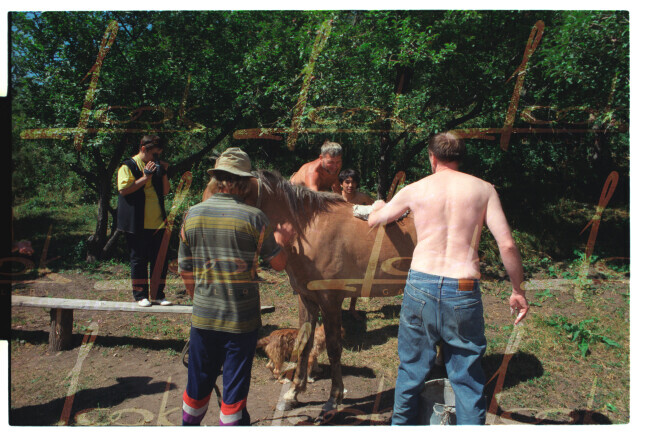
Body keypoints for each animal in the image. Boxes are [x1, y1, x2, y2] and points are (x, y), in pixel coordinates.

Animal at [201, 170, 416, 412]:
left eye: (221, 193)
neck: (308, 232)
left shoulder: (330, 301)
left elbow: (333, 348)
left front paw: (334, 397)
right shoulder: (307, 299)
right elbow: (303, 343)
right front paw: (294, 393)